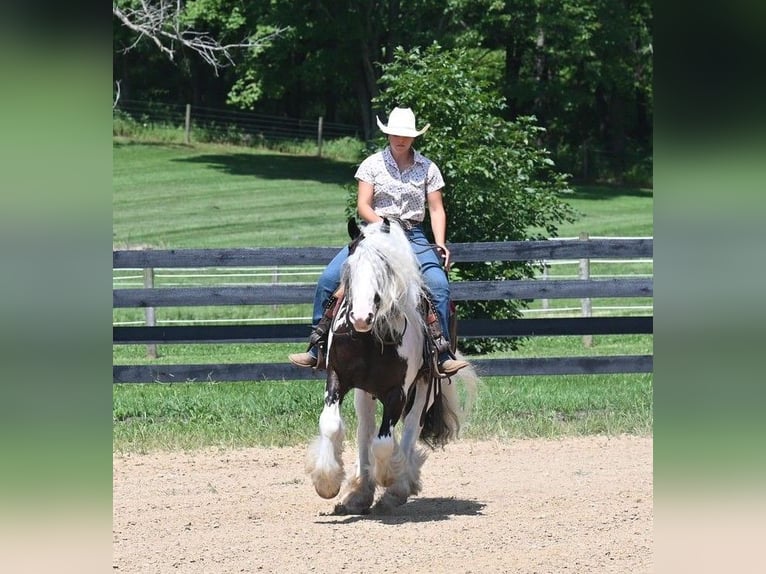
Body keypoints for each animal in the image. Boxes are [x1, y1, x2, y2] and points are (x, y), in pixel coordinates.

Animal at [306, 218, 480, 516]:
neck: (369, 338)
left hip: (425, 389)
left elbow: (385, 442)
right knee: (364, 430)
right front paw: (327, 483)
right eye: (350, 267)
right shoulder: (337, 377)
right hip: (365, 393)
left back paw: (398, 487)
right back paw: (360, 494)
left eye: (385, 269)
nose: (361, 317)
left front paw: (389, 477)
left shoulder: (397, 391)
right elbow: (331, 424)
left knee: (410, 429)